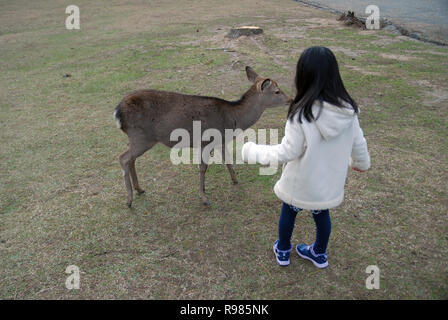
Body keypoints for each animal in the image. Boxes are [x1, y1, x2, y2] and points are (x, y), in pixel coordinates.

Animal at [115, 66, 290, 209]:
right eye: (277, 91)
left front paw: (235, 180)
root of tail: (118, 113)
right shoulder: (207, 140)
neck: (232, 120)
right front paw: (204, 198)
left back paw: (139, 189)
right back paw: (129, 200)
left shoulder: (220, 141)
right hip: (141, 137)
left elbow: (228, 160)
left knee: (130, 159)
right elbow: (203, 167)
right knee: (123, 158)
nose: (290, 99)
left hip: (138, 139)